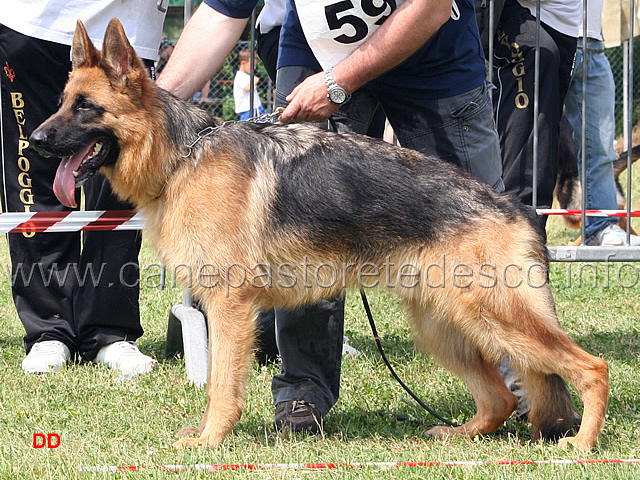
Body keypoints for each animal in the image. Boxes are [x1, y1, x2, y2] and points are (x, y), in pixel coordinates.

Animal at [31, 15, 608, 450]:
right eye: (61, 101)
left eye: (86, 107)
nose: (34, 139)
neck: (181, 155)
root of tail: (514, 207)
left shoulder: (229, 307)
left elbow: (221, 386)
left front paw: (210, 440)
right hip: (444, 325)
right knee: (503, 397)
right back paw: (462, 434)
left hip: (495, 317)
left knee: (590, 367)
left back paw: (580, 445)